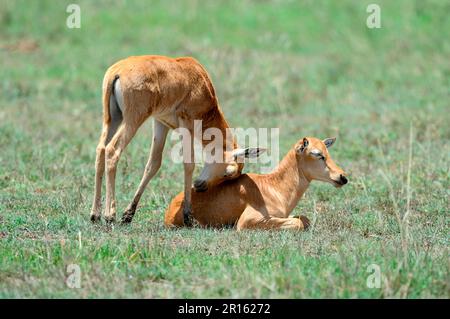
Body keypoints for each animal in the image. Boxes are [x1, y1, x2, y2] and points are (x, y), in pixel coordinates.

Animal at [89, 55, 260, 225]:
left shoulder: (160, 122)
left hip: (112, 119)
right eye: (228, 173)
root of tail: (117, 71)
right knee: (112, 150)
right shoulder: (186, 124)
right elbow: (189, 164)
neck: (197, 76)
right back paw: (110, 215)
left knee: (100, 149)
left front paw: (128, 215)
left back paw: (95, 215)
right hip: (133, 119)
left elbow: (153, 164)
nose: (200, 186)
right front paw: (188, 217)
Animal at [165, 136, 348, 231]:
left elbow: (303, 218)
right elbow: (299, 222)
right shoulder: (247, 221)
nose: (342, 177)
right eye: (317, 154)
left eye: (326, 151)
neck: (272, 186)